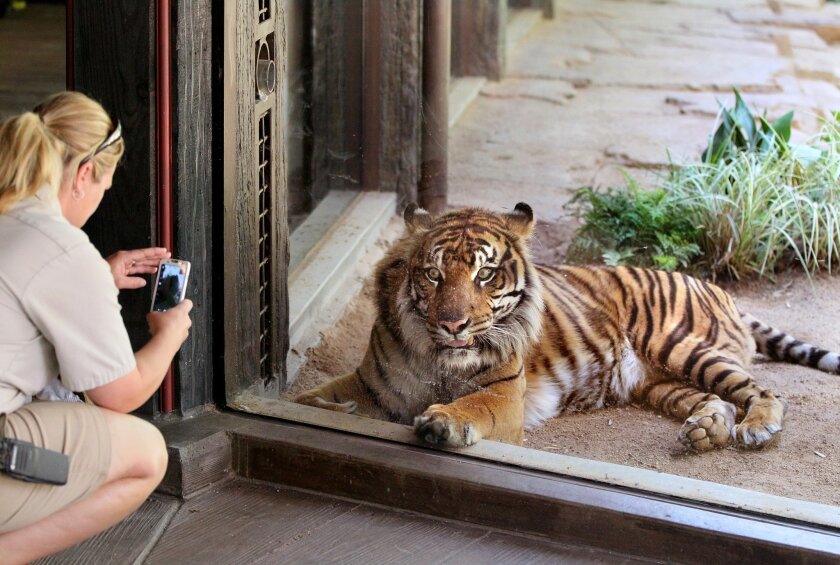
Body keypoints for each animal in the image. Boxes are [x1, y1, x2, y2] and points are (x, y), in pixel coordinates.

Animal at [296, 203, 840, 450]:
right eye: (432, 274)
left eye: (485, 274)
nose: (452, 324)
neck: (437, 357)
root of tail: (720, 290)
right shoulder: (370, 381)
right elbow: (307, 399)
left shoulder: (505, 395)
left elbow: (471, 405)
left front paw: (442, 421)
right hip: (660, 384)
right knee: (715, 399)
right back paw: (706, 431)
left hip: (679, 345)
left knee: (761, 390)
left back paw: (756, 426)